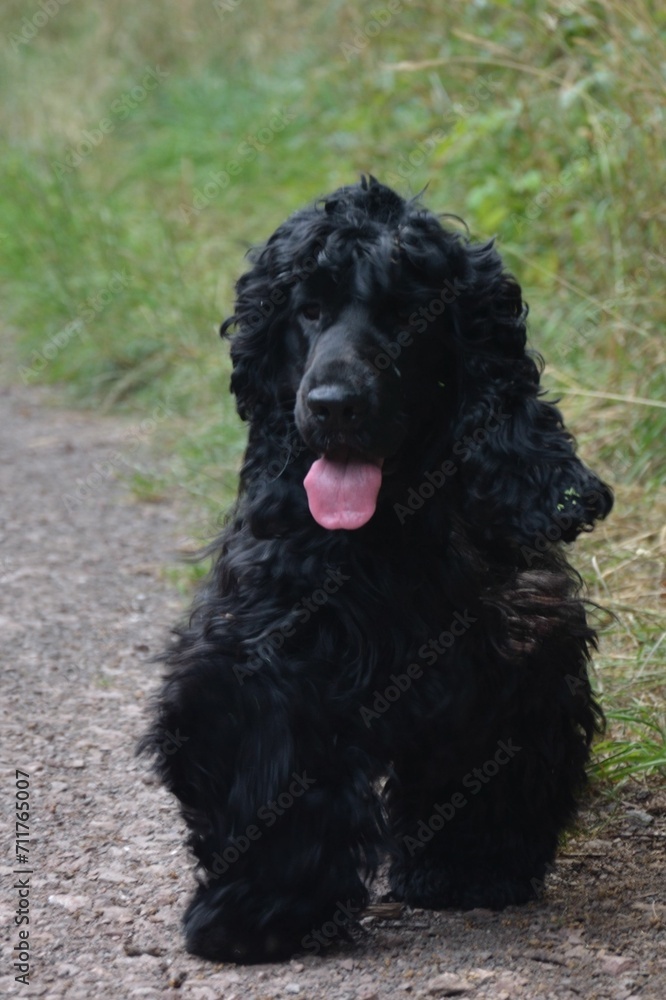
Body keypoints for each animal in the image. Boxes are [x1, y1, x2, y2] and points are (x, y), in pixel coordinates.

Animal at [143, 178, 608, 960]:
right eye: (307, 310)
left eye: (404, 315)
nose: (333, 406)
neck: (388, 528)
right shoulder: (264, 651)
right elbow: (272, 774)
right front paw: (259, 911)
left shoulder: (513, 638)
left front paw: (470, 868)